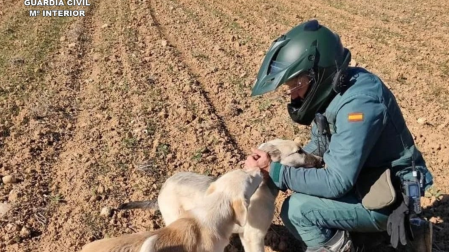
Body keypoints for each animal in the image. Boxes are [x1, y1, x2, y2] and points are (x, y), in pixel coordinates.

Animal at [119, 140, 322, 252]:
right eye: (299, 151)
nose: (321, 160)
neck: (264, 187)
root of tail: (162, 190)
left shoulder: (246, 235)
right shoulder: (254, 236)